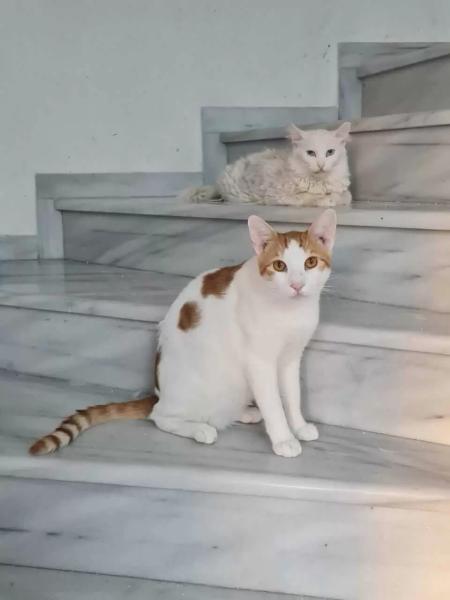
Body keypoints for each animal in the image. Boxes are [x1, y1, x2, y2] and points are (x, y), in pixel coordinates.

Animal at [29, 209, 336, 459]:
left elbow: (292, 395)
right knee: (161, 416)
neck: (290, 312)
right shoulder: (259, 361)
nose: (297, 285)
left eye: (310, 263)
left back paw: (244, 412)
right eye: (279, 266)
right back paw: (200, 429)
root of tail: (158, 393)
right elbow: (273, 402)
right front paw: (283, 438)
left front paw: (298, 426)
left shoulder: (291, 358)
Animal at [182, 123, 351, 207]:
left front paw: (335, 198)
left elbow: (346, 196)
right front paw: (327, 200)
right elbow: (309, 197)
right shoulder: (279, 195)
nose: (321, 165)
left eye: (330, 152)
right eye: (311, 153)